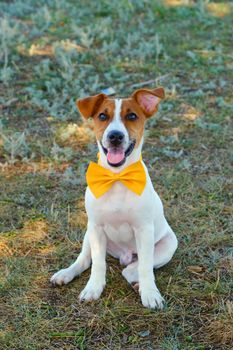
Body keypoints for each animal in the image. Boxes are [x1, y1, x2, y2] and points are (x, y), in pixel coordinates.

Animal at [51, 87, 177, 308]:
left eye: (132, 116)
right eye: (102, 116)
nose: (115, 136)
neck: (117, 177)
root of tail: (124, 256)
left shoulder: (144, 230)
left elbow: (145, 267)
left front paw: (150, 293)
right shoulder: (96, 228)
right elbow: (98, 264)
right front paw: (93, 288)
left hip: (169, 244)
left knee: (132, 268)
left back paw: (137, 282)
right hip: (88, 233)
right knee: (84, 259)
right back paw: (65, 273)